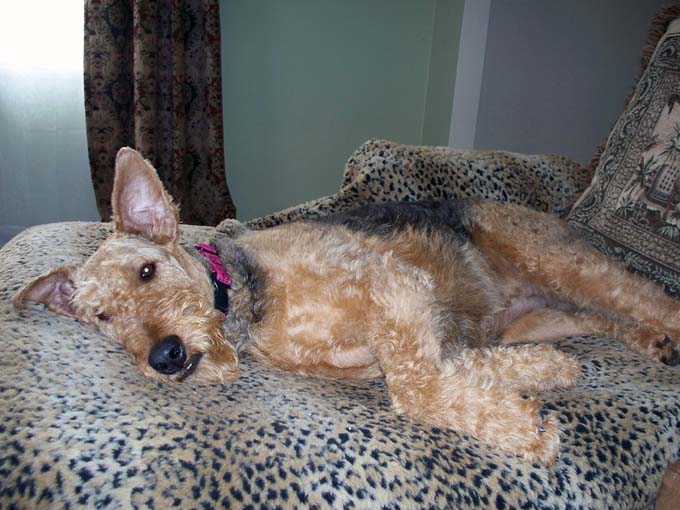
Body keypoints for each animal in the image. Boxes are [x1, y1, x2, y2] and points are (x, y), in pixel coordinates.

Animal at [11, 148, 680, 466]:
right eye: (103, 317)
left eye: (147, 271)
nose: (166, 357)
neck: (246, 298)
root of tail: (560, 215)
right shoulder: (421, 332)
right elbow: (453, 371)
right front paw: (548, 377)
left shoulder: (393, 286)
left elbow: (417, 391)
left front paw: (530, 429)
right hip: (542, 311)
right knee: (610, 319)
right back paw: (652, 347)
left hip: (563, 263)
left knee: (651, 297)